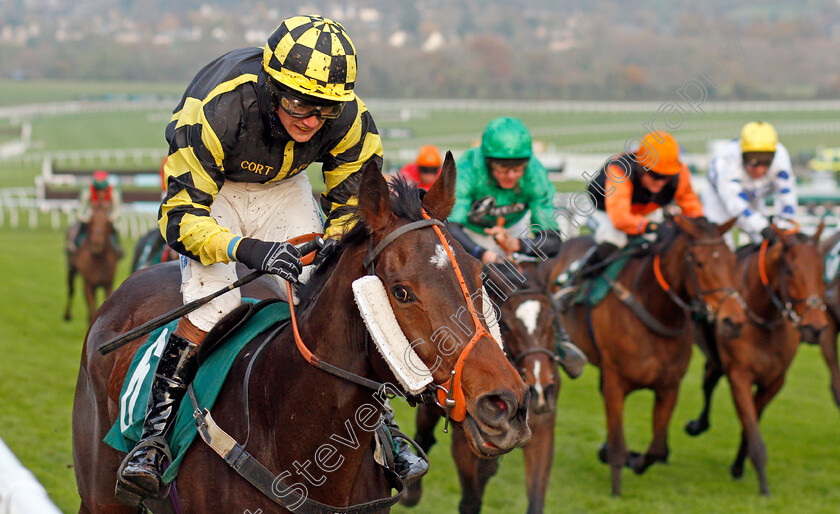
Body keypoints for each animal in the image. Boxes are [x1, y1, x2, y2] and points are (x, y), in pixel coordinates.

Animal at [402, 262, 560, 510]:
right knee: (425, 433)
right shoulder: (466, 438)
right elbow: (471, 500)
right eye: (507, 325)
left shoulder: (542, 427)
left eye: (552, 321)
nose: (541, 391)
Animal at [540, 215, 740, 492]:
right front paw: (616, 481)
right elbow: (618, 444)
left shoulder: (669, 386)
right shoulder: (615, 382)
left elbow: (657, 448)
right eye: (699, 263)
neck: (654, 309)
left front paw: (633, 460)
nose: (733, 320)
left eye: (732, 260)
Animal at [684, 223, 832, 492]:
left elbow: (751, 421)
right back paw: (697, 425)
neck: (764, 318)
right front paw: (763, 484)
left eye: (821, 271)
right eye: (791, 270)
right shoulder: (739, 375)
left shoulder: (774, 380)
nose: (815, 328)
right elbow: (751, 424)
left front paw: (738, 466)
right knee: (708, 384)